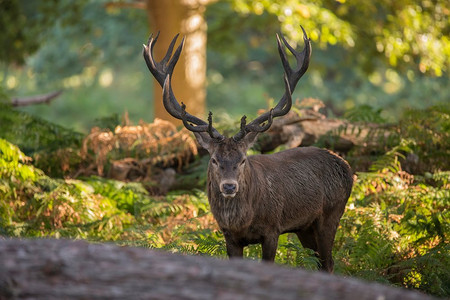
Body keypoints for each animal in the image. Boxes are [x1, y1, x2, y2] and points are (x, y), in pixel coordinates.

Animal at [142, 27, 354, 274]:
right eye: (214, 160)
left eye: (243, 159)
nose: (229, 186)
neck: (243, 221)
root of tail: (346, 166)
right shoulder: (229, 237)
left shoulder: (272, 229)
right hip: (305, 227)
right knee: (320, 262)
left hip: (331, 213)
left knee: (329, 262)